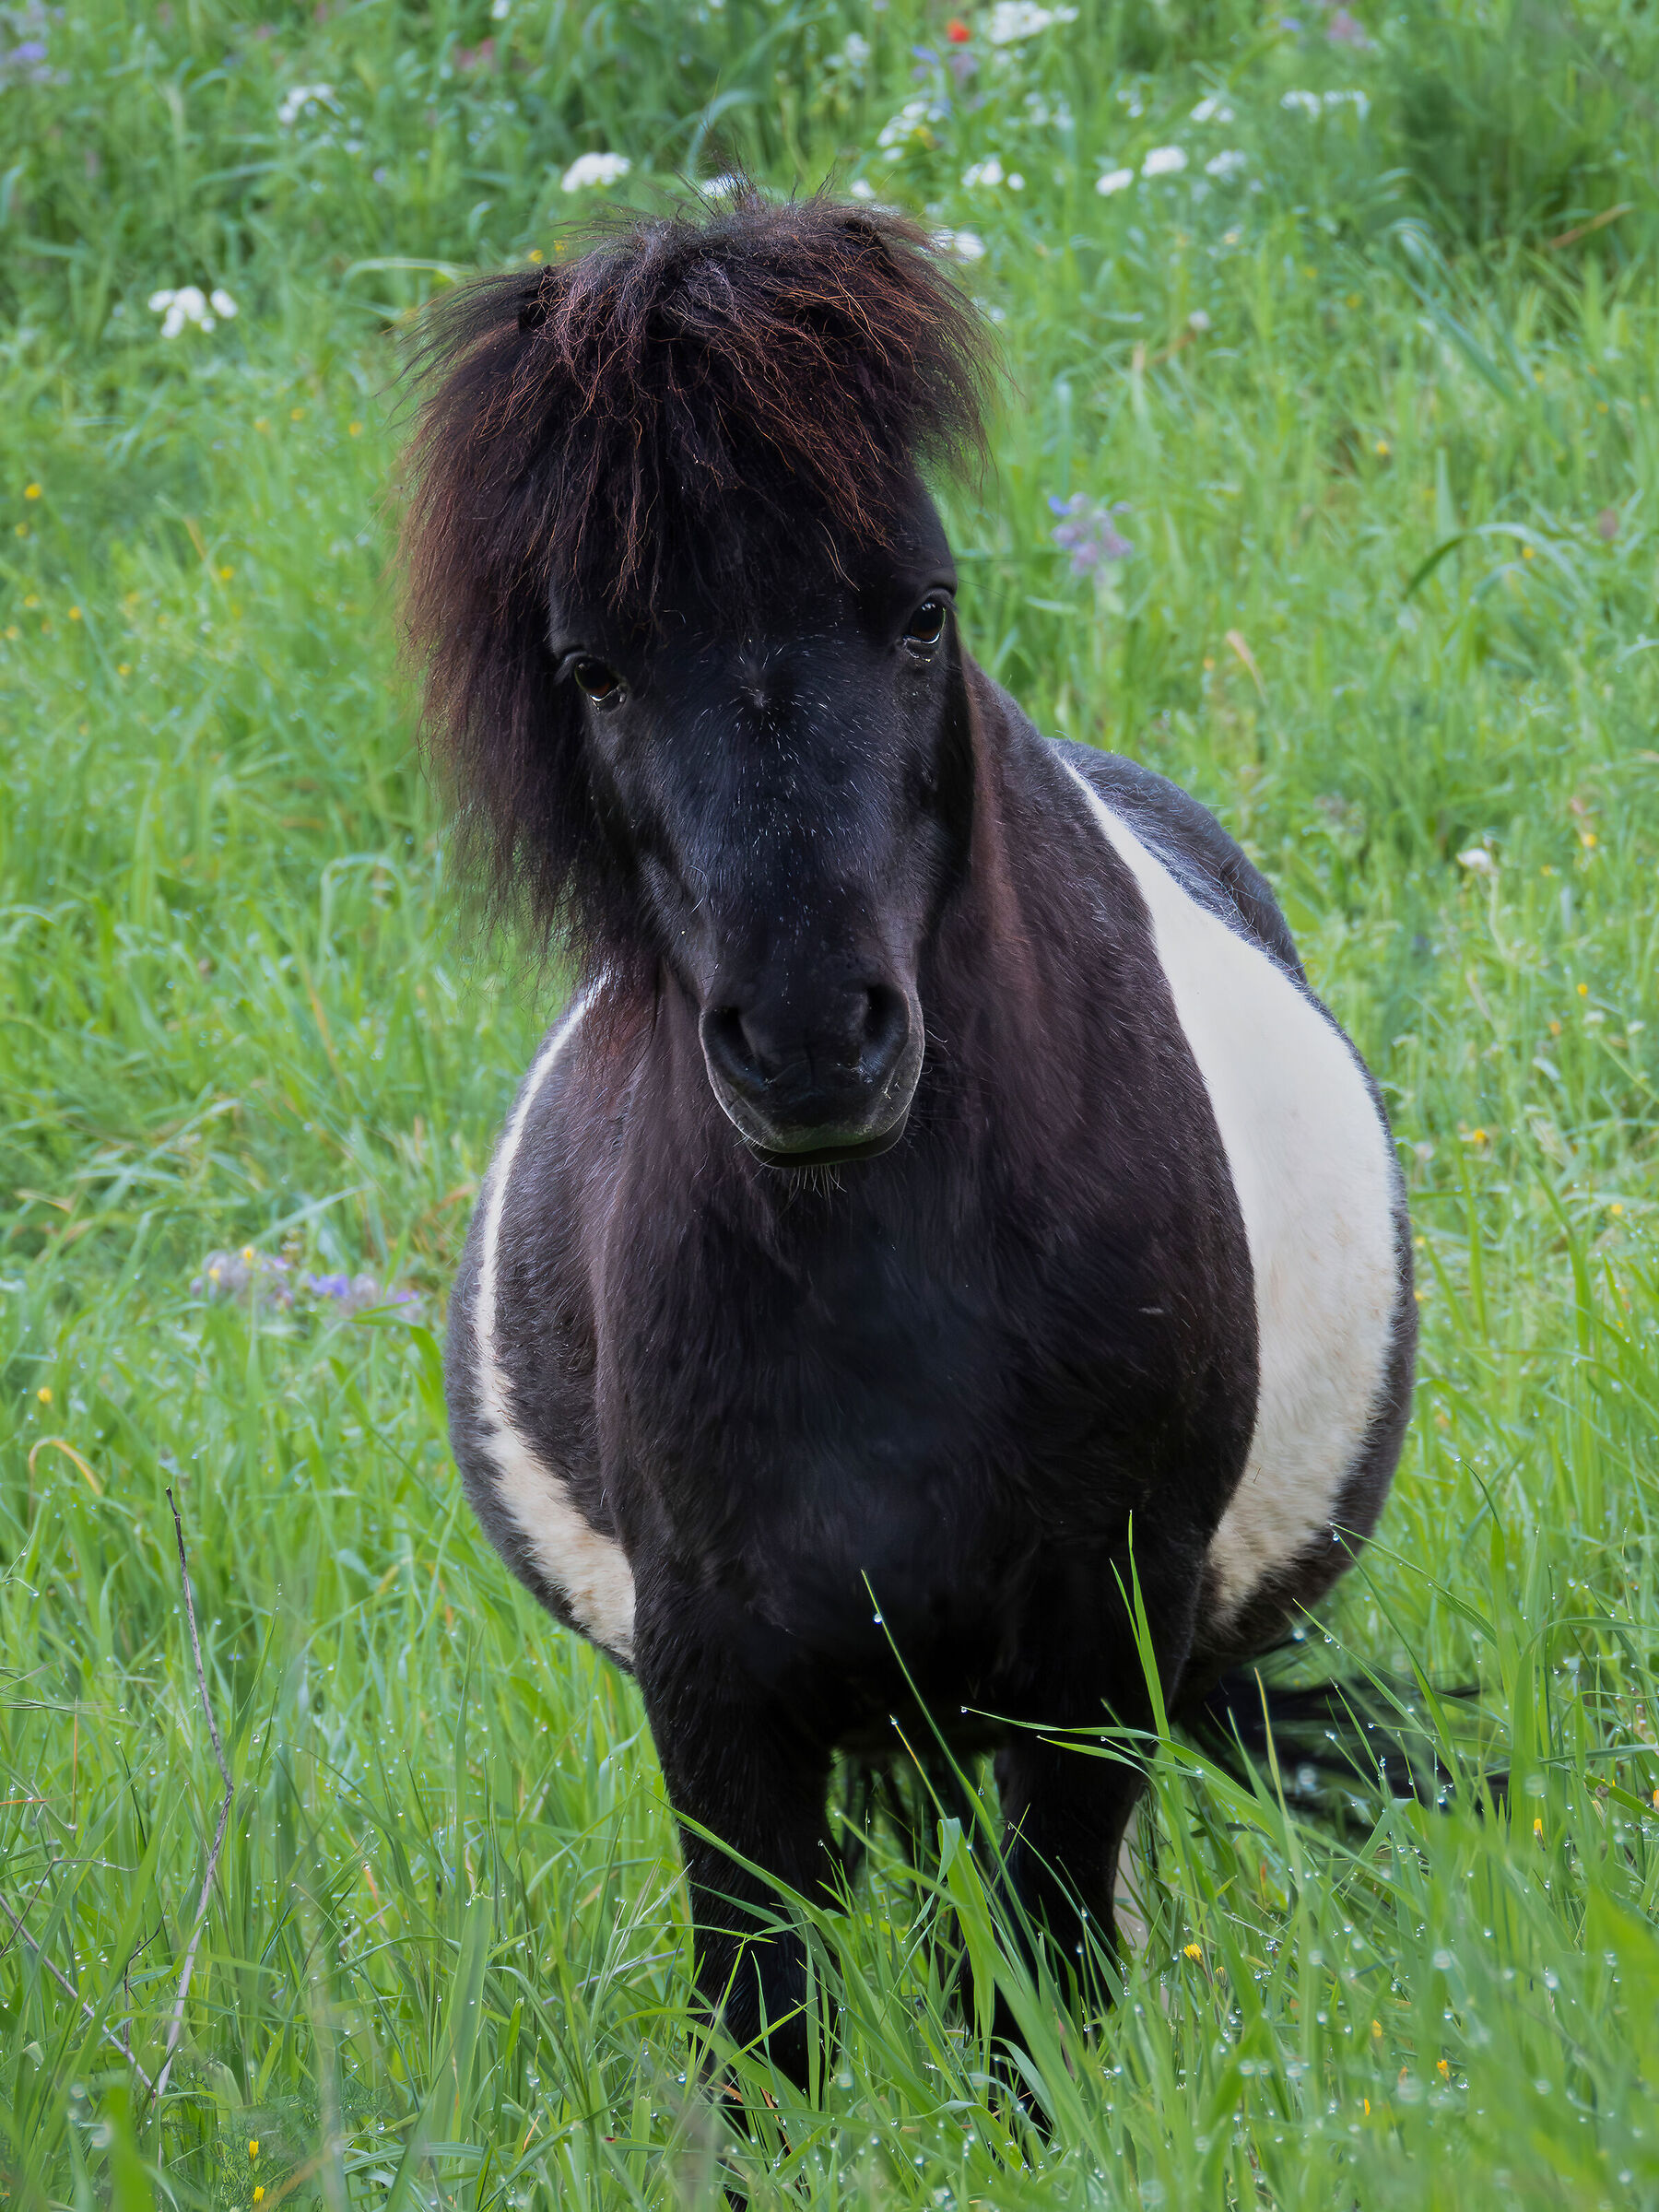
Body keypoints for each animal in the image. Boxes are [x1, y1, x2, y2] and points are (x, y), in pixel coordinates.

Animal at [401, 192, 1414, 2085]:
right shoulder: (719, 1697)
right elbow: (768, 2038)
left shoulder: (1093, 1656)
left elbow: (1038, 2002)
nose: (814, 1046)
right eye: (593, 670)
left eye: (923, 612)